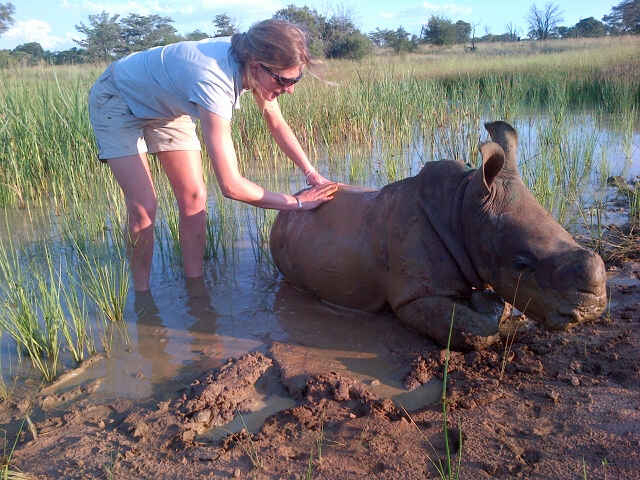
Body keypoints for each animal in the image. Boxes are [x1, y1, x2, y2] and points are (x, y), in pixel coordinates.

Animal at [268, 122, 608, 350]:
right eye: (521, 264)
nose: (591, 311)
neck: (461, 210)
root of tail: (288, 205)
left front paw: (496, 307)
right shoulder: (413, 296)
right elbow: (472, 329)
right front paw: (498, 315)